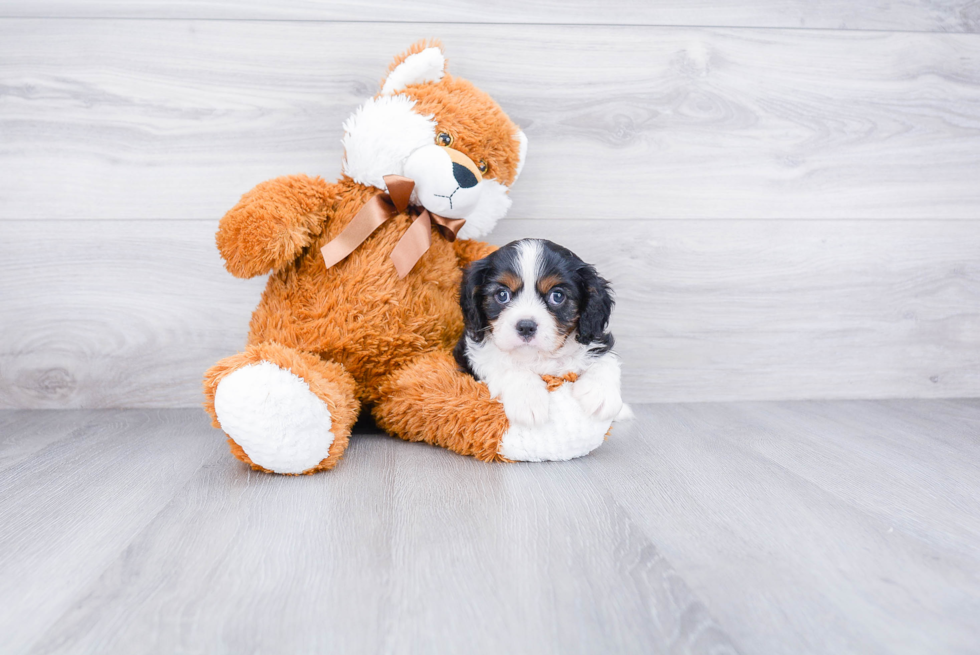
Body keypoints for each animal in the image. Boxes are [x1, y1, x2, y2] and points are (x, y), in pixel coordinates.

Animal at [454, 238, 628, 428]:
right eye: (502, 294)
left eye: (557, 296)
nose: (526, 326)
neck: (538, 356)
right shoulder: (475, 352)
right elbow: (506, 366)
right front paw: (528, 399)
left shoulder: (594, 336)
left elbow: (604, 359)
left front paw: (601, 393)